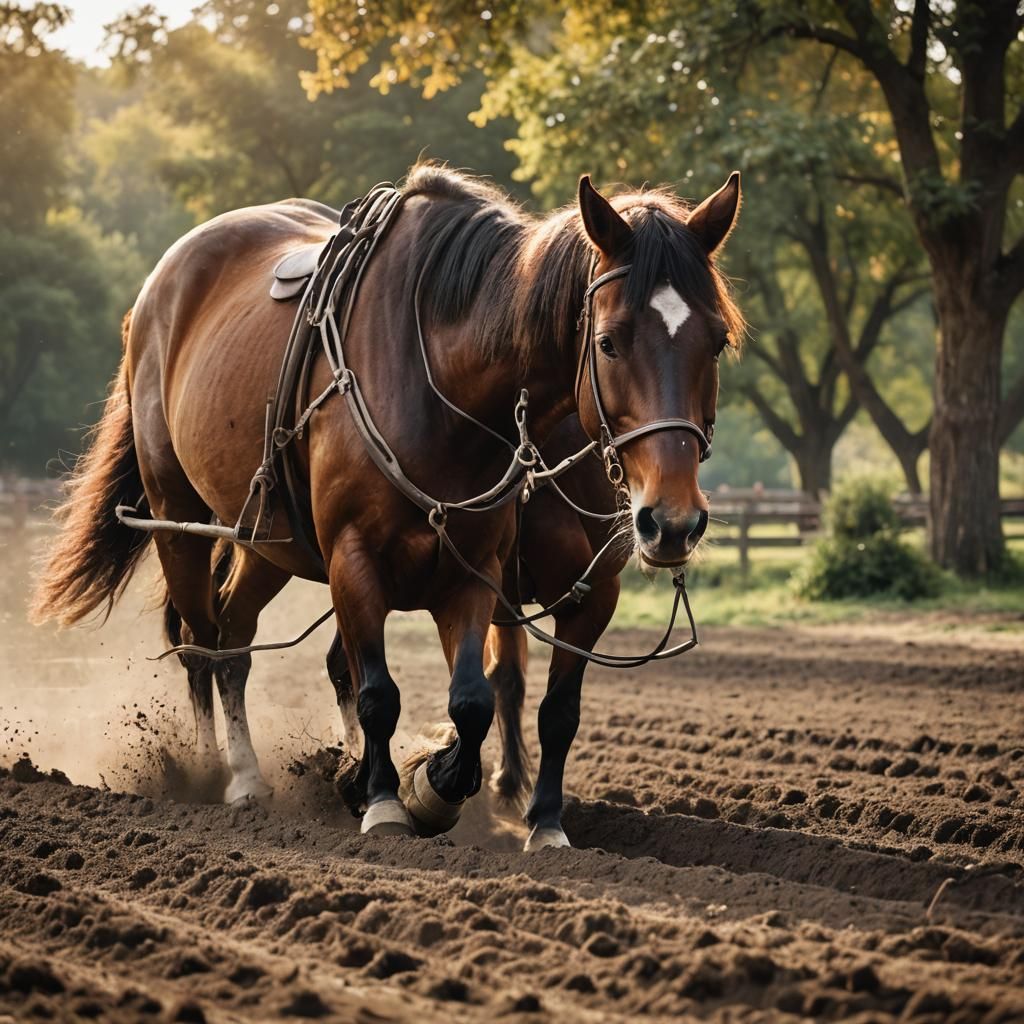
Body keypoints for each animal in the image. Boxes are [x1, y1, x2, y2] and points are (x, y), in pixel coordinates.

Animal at [31, 164, 743, 849]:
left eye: (717, 342)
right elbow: (378, 690)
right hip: (180, 518)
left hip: (270, 540)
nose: (672, 521)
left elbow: (490, 703)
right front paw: (382, 801)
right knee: (202, 644)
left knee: (235, 635)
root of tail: (157, 290)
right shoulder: (356, 559)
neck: (441, 384)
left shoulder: (492, 575)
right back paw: (221, 773)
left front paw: (481, 800)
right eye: (609, 342)